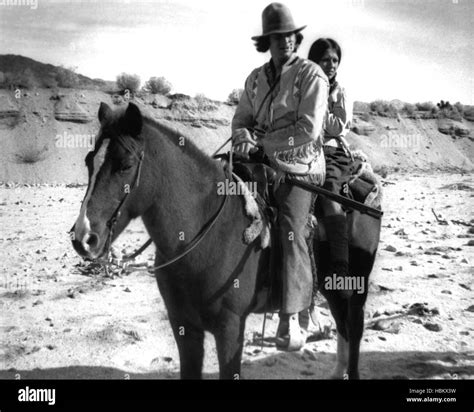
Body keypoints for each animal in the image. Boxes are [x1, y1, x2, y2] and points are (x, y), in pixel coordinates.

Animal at [70, 103, 382, 380]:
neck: (202, 235)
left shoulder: (230, 328)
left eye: (125, 166)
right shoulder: (184, 327)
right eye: (88, 162)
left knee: (353, 327)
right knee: (342, 324)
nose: (84, 238)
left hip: (354, 284)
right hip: (331, 286)